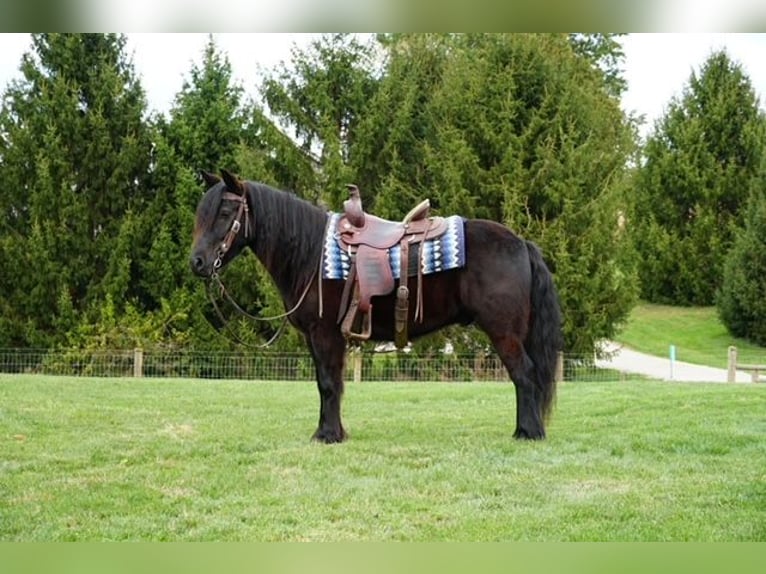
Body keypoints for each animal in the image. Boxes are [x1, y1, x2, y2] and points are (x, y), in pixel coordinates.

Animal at [189, 169, 562, 443]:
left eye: (225, 212)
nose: (197, 262)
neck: (311, 253)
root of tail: (521, 243)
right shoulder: (319, 338)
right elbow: (328, 382)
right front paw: (334, 431)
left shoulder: (325, 334)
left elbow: (328, 383)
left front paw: (327, 435)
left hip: (504, 332)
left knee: (524, 374)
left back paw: (528, 433)